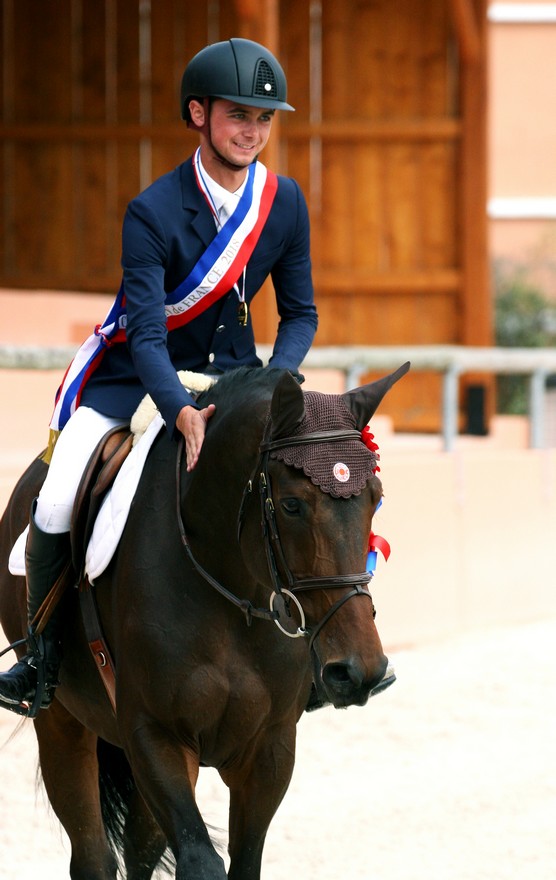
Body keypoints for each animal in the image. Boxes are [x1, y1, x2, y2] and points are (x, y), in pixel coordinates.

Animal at [0, 360, 408, 876]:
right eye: (292, 504)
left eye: (375, 498)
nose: (357, 672)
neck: (229, 592)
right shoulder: (155, 735)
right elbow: (200, 860)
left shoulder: (271, 749)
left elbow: (243, 861)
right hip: (61, 723)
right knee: (92, 855)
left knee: (139, 850)